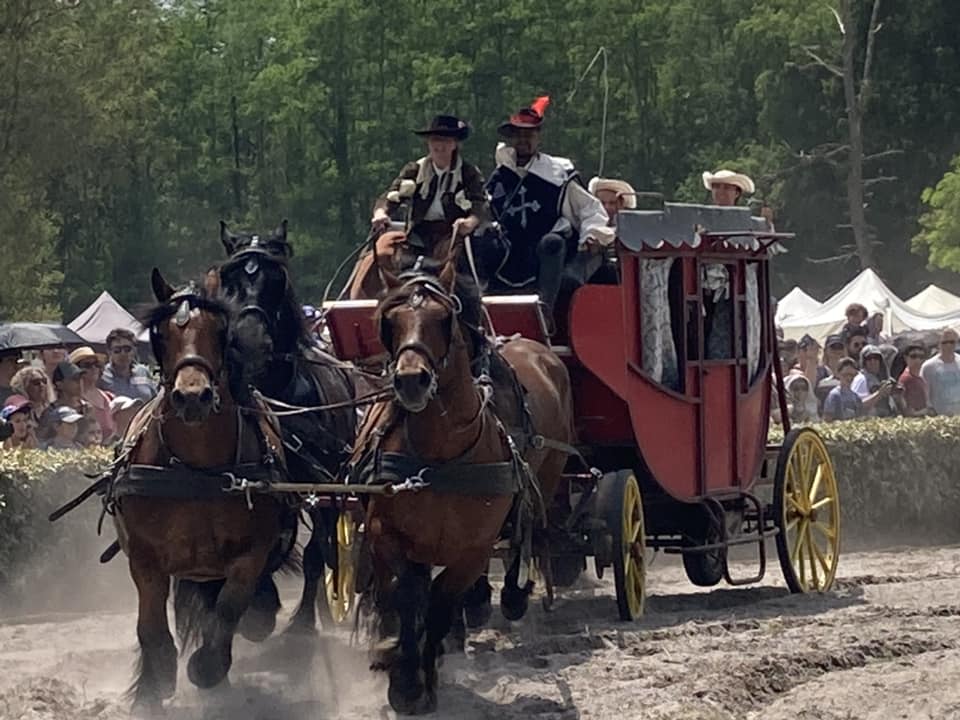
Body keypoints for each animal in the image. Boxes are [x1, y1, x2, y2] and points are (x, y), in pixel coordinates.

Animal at [115, 270, 286, 716]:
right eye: (159, 334)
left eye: (220, 331)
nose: (193, 397)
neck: (196, 470)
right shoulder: (144, 559)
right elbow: (151, 630)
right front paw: (153, 686)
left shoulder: (249, 555)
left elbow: (227, 612)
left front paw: (206, 668)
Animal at [215, 221, 360, 636]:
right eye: (228, 277)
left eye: (276, 277)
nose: (250, 340)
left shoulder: (319, 485)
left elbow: (311, 553)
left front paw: (297, 623)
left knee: (322, 546)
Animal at [356, 250, 572, 712]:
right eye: (389, 319)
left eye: (443, 318)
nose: (411, 380)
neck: (440, 456)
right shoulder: (386, 534)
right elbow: (407, 595)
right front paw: (403, 676)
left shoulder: (472, 550)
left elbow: (440, 603)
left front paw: (422, 680)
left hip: (546, 475)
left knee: (529, 526)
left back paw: (511, 597)